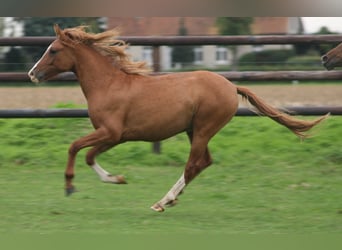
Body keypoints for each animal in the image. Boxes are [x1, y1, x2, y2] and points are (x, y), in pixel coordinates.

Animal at [28, 24, 328, 213]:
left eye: (53, 50)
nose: (32, 74)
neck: (108, 84)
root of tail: (231, 86)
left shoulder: (111, 133)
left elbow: (75, 147)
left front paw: (71, 186)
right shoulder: (113, 137)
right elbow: (89, 155)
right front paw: (117, 179)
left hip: (204, 128)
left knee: (193, 164)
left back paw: (163, 201)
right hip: (193, 130)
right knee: (203, 162)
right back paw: (171, 199)